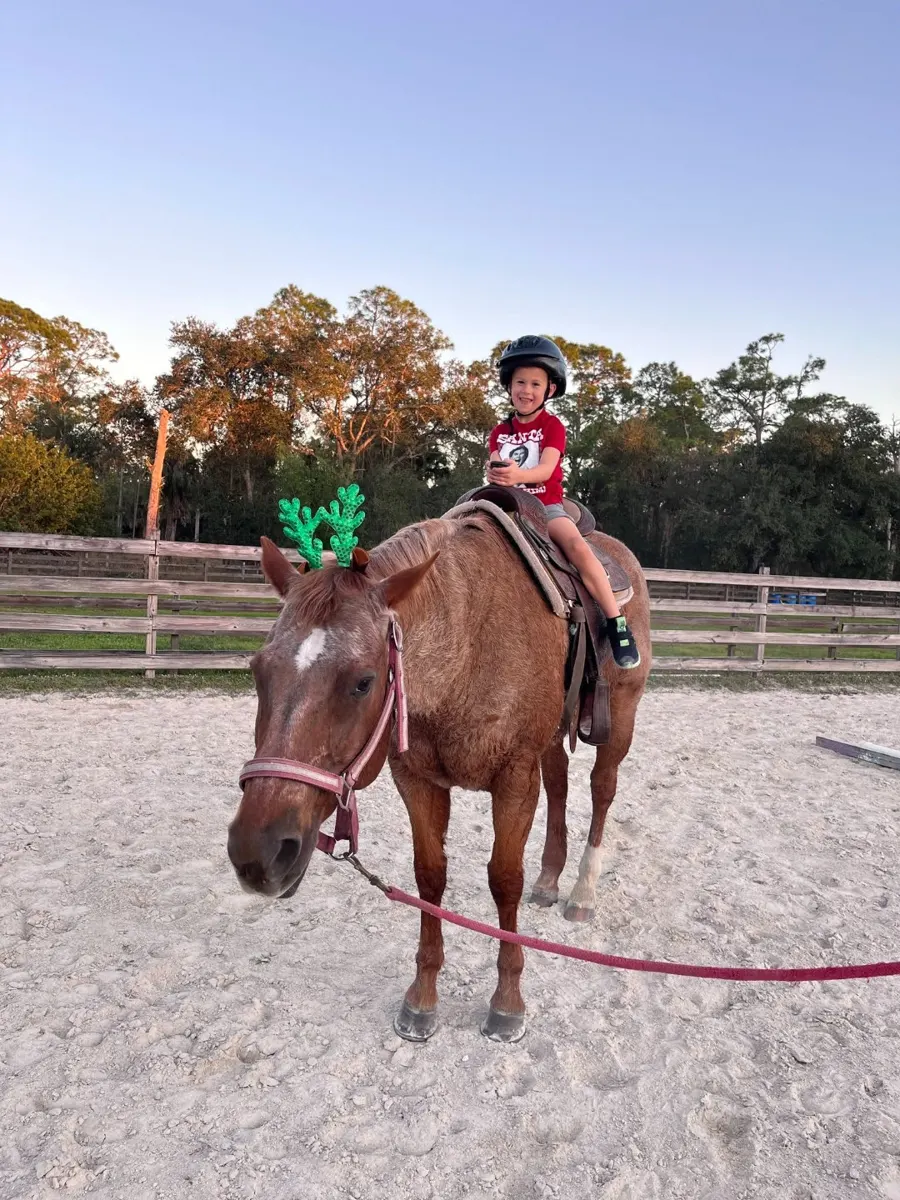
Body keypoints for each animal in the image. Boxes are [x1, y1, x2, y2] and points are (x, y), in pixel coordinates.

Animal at [227, 511, 651, 1042]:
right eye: (258, 670)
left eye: (363, 682)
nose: (258, 852)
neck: (465, 644)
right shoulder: (416, 780)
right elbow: (429, 878)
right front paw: (422, 997)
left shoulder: (515, 779)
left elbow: (504, 880)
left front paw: (507, 1003)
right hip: (554, 736)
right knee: (560, 784)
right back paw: (550, 879)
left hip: (620, 719)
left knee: (601, 791)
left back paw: (582, 892)